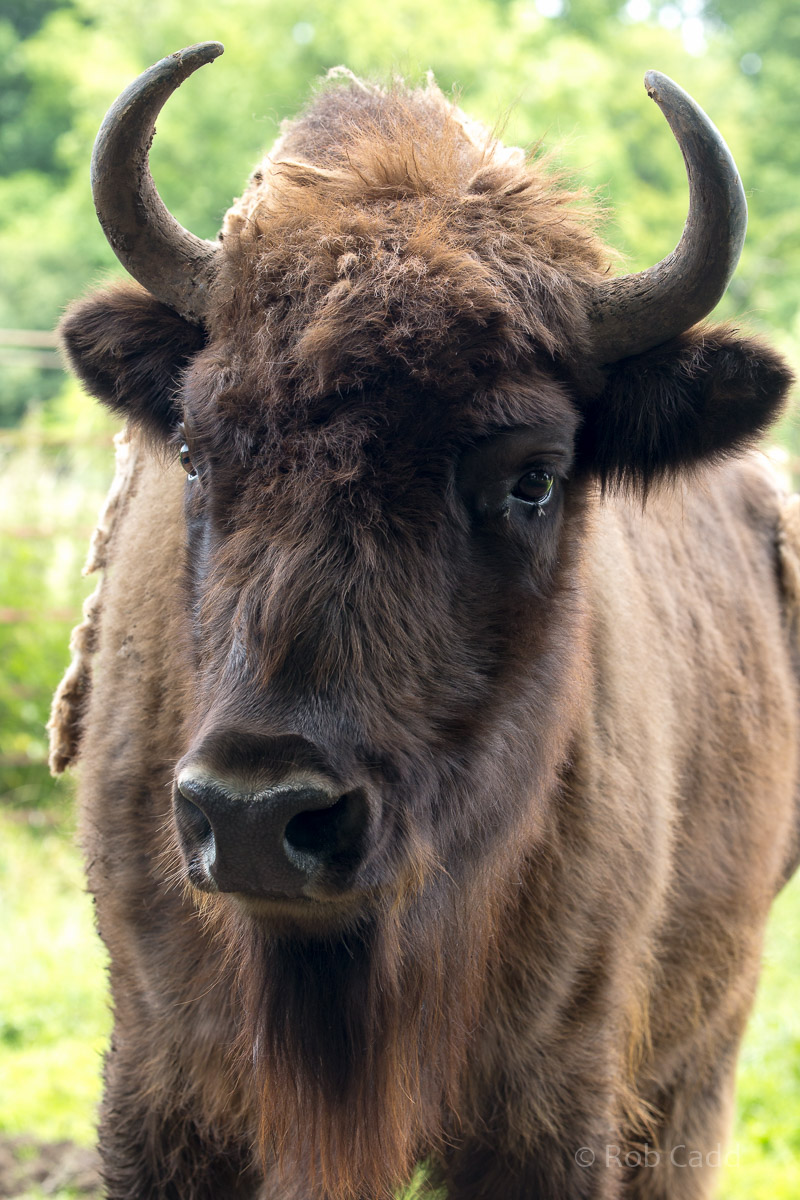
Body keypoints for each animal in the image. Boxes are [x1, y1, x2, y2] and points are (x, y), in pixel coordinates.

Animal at [50, 41, 800, 1200]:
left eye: (534, 478)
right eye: (192, 449)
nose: (259, 818)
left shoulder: (552, 1110)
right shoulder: (160, 1085)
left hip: (696, 1057)